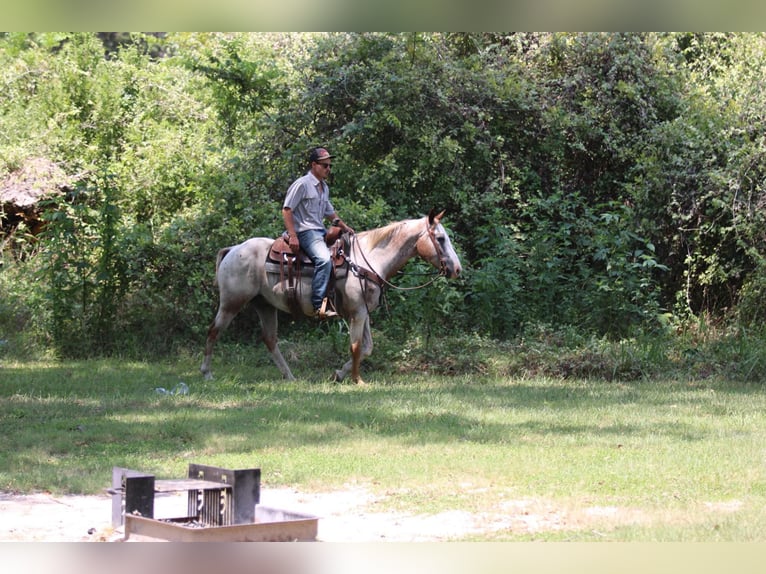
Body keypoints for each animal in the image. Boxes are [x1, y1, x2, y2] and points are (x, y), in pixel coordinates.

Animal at [200, 210, 462, 385]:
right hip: (231, 303)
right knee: (213, 331)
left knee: (270, 339)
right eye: (440, 239)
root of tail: (233, 249)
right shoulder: (357, 313)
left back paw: (289, 376)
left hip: (265, 305)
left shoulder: (363, 312)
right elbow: (356, 346)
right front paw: (357, 380)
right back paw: (206, 372)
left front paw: (339, 374)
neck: (367, 260)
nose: (457, 269)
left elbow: (367, 347)